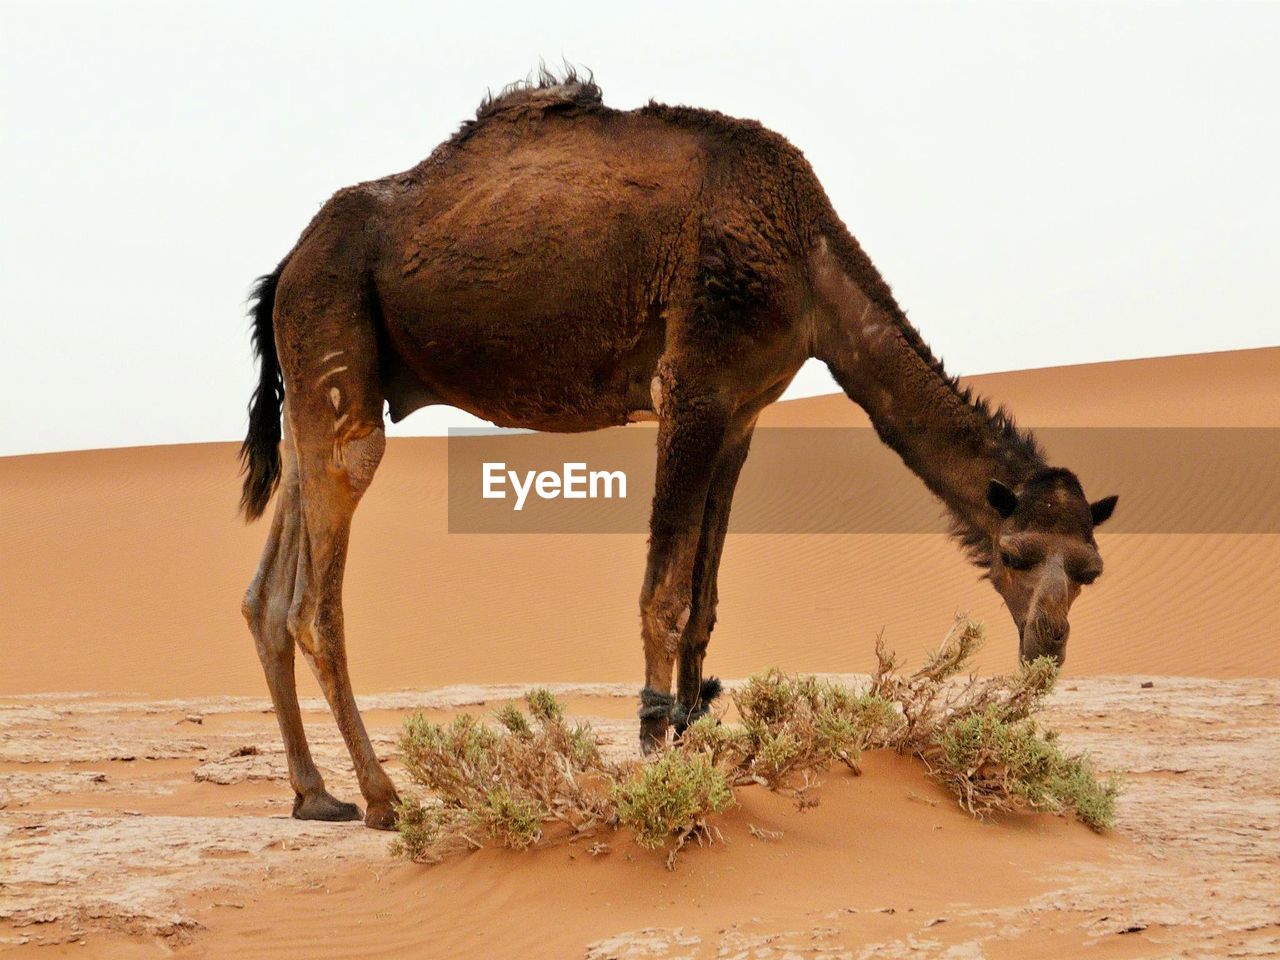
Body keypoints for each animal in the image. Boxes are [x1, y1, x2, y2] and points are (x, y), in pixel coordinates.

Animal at [235, 71, 1116, 829]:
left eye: (1091, 569)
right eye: (1015, 553)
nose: (1048, 649)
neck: (808, 261)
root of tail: (285, 266)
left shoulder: (741, 412)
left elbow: (705, 598)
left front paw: (697, 739)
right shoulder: (692, 384)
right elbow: (662, 597)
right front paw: (656, 758)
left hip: (318, 381)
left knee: (268, 593)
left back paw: (314, 795)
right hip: (334, 336)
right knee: (316, 595)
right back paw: (384, 798)